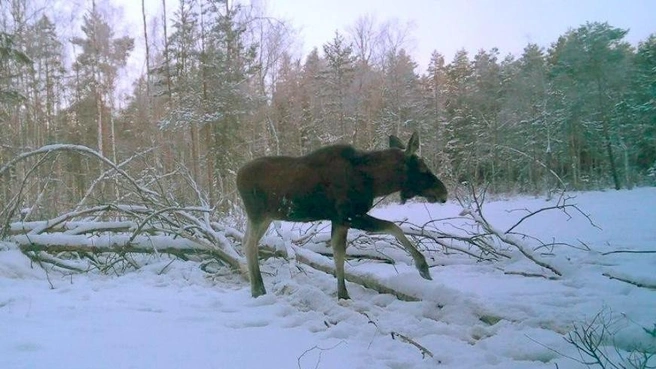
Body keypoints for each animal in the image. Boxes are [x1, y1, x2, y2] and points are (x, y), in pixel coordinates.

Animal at [236, 132, 446, 300]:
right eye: (422, 169)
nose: (443, 191)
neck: (374, 182)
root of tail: (237, 176)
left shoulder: (340, 220)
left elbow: (338, 254)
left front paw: (342, 293)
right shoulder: (350, 215)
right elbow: (393, 226)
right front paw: (422, 266)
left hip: (266, 217)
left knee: (247, 241)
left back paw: (257, 287)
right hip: (257, 214)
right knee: (249, 244)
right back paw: (257, 289)